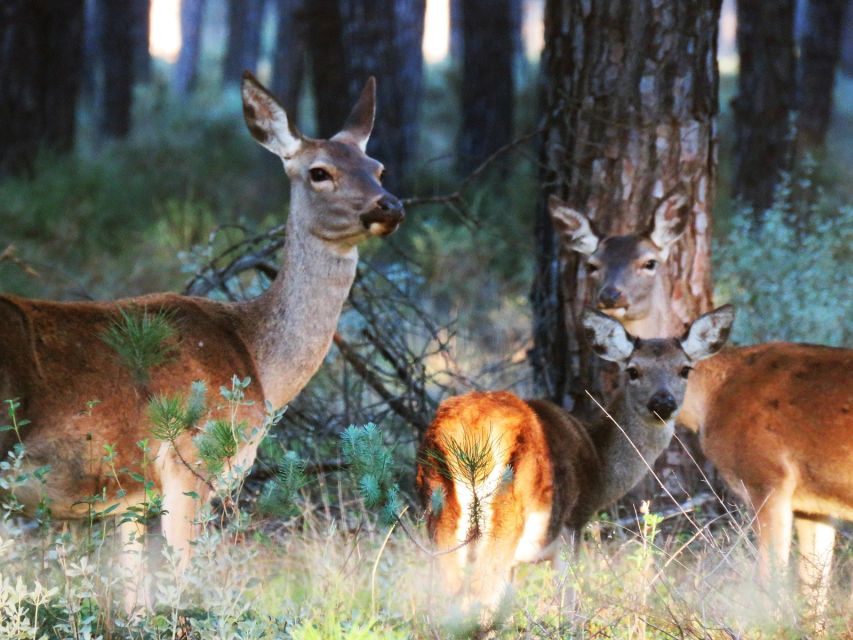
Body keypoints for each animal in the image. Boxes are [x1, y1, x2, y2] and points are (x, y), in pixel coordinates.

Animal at [0, 71, 404, 608]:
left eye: (377, 167)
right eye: (319, 172)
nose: (390, 205)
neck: (257, 361)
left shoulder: (130, 498)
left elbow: (134, 599)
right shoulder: (188, 460)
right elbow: (179, 584)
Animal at [414, 304, 732, 616]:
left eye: (684, 369)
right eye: (633, 370)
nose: (662, 402)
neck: (600, 464)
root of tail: (468, 432)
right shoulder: (573, 522)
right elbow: (568, 601)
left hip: (440, 510)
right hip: (508, 515)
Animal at [548, 194, 852, 620]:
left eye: (649, 261)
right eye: (593, 264)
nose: (611, 295)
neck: (714, 397)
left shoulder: (768, 477)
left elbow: (769, 587)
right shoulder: (814, 503)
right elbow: (814, 598)